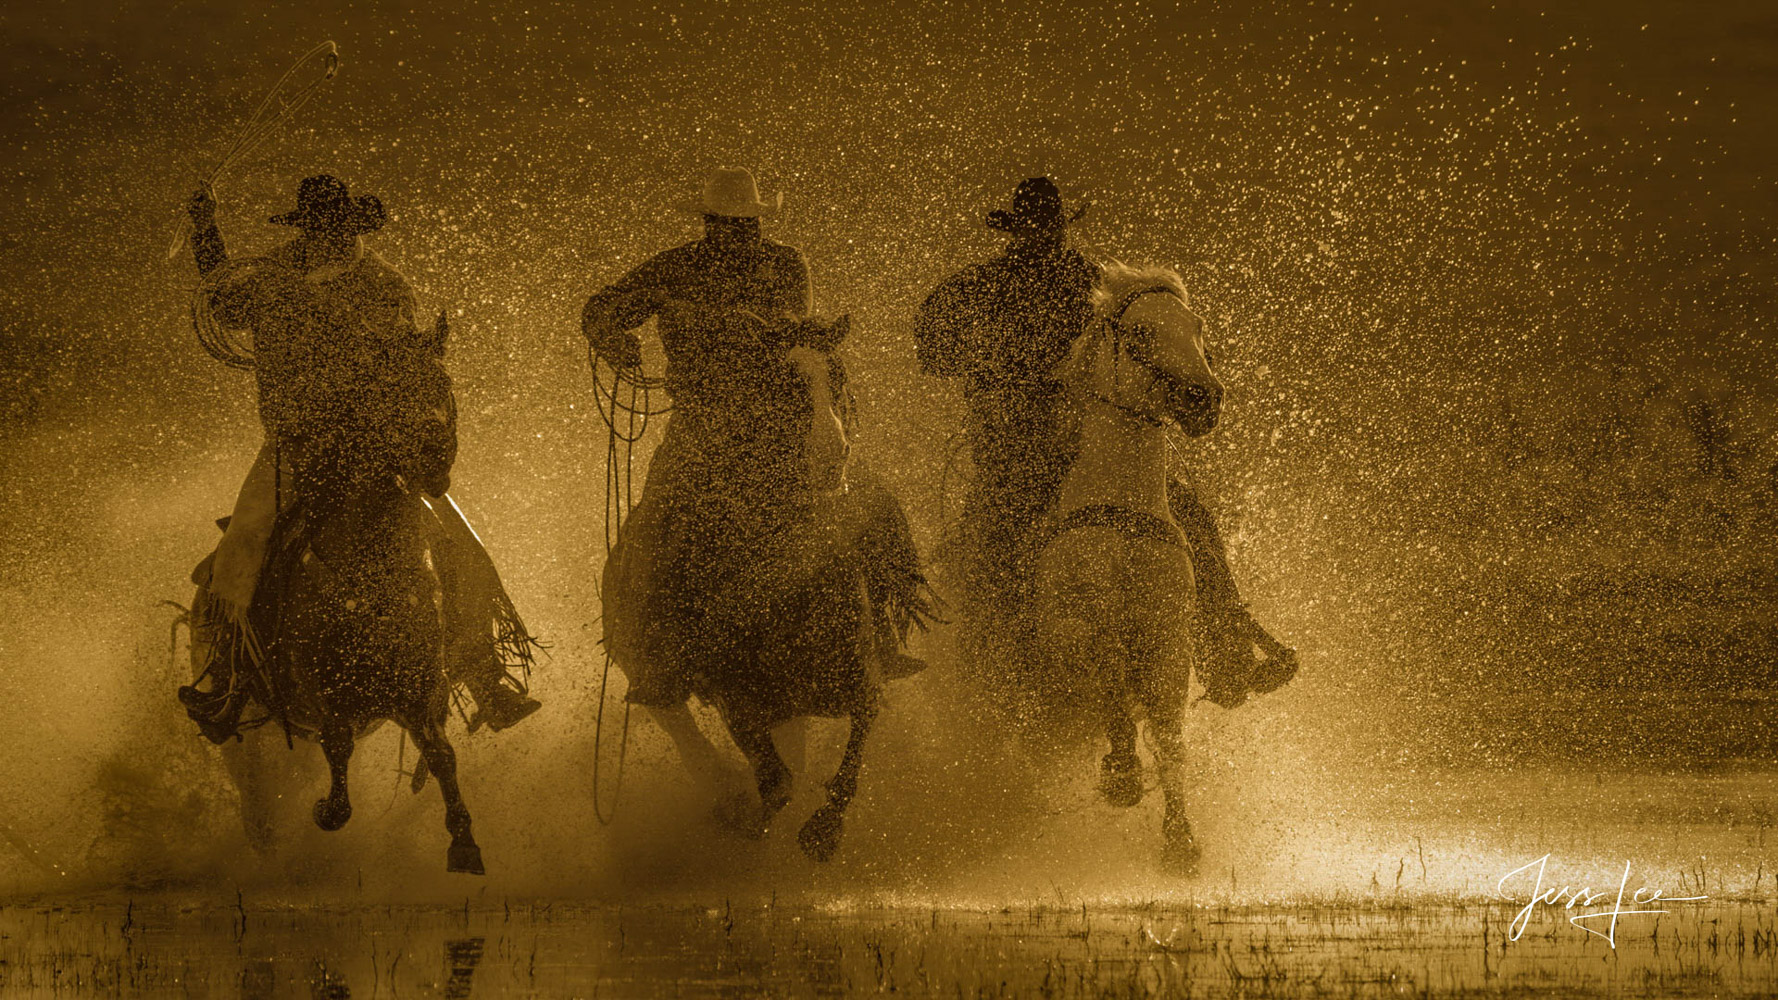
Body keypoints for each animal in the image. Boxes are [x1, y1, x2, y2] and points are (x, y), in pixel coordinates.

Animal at [604, 307, 924, 861]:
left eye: (837, 378)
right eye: (783, 385)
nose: (833, 457)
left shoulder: (855, 669)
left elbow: (860, 722)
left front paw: (824, 829)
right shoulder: (735, 693)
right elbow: (776, 782)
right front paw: (747, 817)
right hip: (646, 666)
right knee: (677, 722)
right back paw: (725, 793)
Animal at [1031, 261, 1223, 868]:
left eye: (1197, 327)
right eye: (1139, 333)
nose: (1204, 397)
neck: (1123, 517)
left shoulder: (1169, 640)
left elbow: (1169, 740)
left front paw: (1180, 839)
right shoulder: (1069, 630)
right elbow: (1110, 672)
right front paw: (1121, 773)